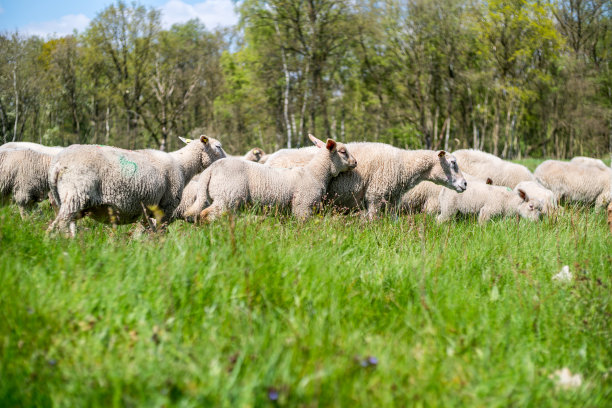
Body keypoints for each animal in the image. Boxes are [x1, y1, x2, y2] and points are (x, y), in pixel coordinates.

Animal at [47, 135, 225, 236]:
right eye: (218, 146)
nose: (227, 160)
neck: (182, 166)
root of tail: (57, 165)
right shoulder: (166, 207)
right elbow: (160, 234)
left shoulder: (146, 212)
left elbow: (143, 235)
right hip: (75, 194)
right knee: (59, 225)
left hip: (64, 201)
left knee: (63, 226)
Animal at [185, 135, 358, 222]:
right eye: (343, 152)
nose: (355, 162)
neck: (315, 173)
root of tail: (211, 170)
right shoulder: (303, 205)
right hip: (227, 196)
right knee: (207, 214)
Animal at [264, 143, 468, 220]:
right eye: (453, 163)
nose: (465, 184)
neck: (403, 165)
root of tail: (269, 160)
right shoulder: (375, 195)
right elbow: (373, 220)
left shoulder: (391, 201)